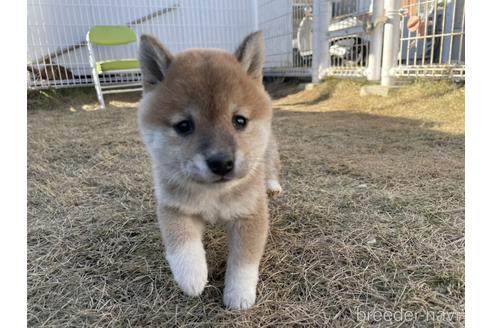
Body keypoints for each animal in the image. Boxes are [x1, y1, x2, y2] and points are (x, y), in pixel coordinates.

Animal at [137, 31, 280, 310]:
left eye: (239, 121)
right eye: (184, 126)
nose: (221, 162)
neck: (214, 194)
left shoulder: (251, 214)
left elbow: (244, 261)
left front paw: (239, 294)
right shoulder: (174, 207)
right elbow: (181, 243)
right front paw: (192, 276)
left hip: (268, 153)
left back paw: (272, 185)